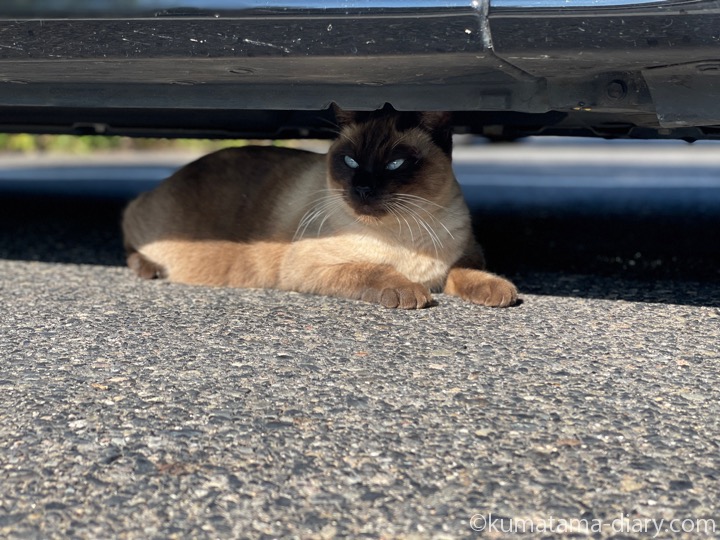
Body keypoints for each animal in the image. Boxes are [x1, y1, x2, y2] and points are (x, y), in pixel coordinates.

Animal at [122, 106, 516, 308]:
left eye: (395, 164)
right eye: (350, 161)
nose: (363, 188)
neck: (404, 233)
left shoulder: (467, 254)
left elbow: (465, 272)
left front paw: (499, 291)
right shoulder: (308, 266)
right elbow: (372, 271)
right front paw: (409, 292)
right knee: (128, 231)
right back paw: (149, 269)